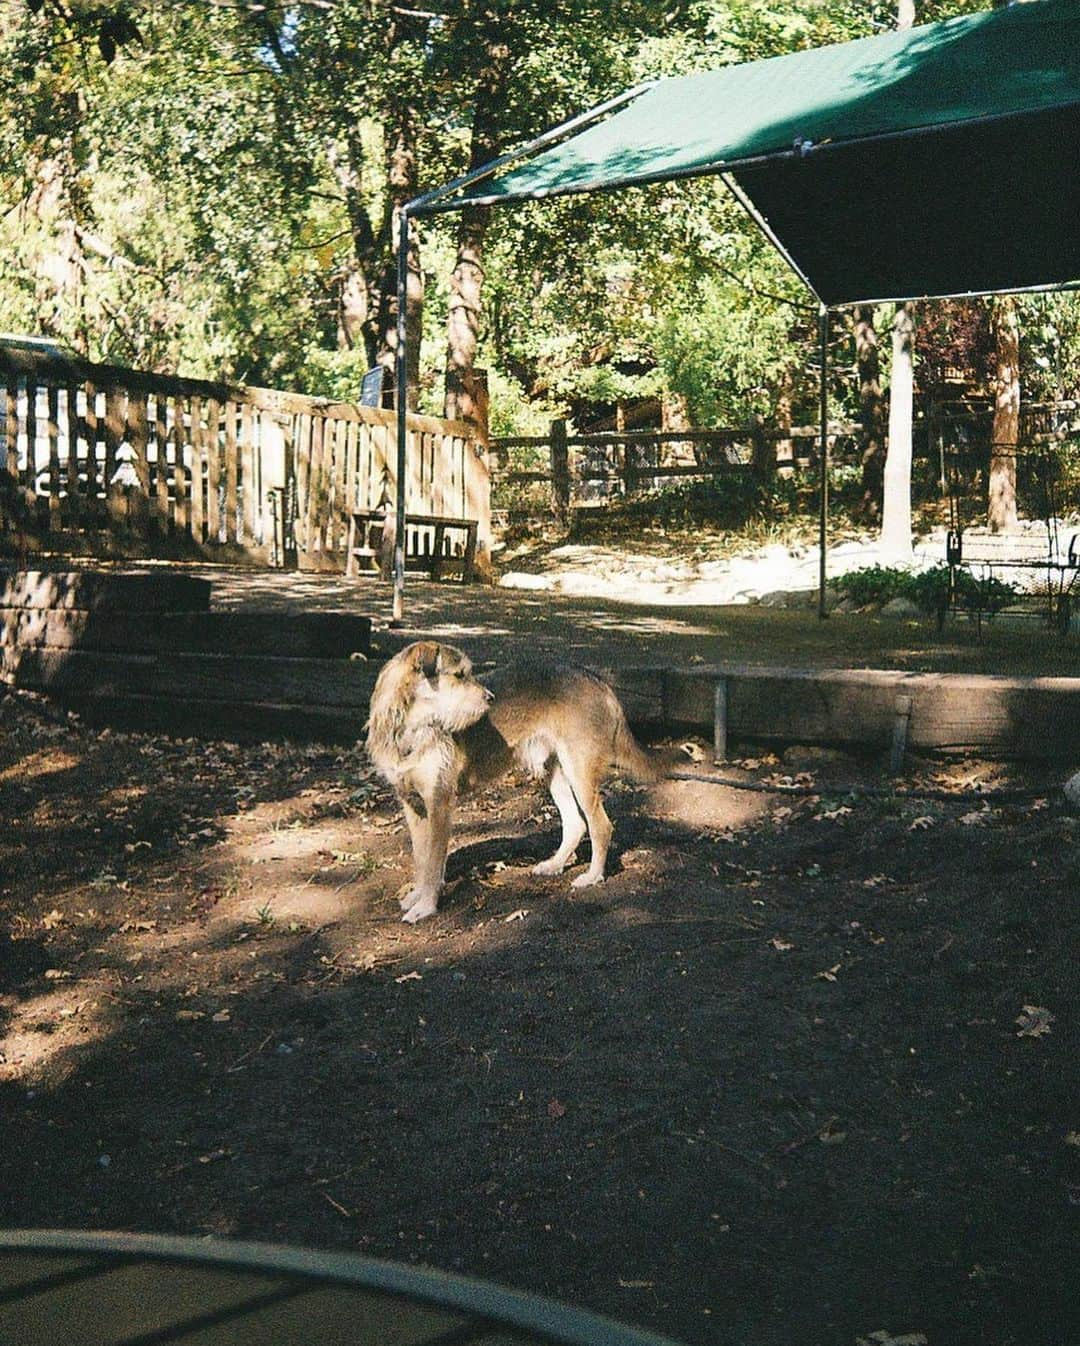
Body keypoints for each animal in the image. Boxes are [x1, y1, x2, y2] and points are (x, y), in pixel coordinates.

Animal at [366, 643, 659, 920]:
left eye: (468, 673)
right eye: (459, 675)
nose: (490, 698)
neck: (408, 731)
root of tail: (597, 680)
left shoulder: (439, 803)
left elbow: (433, 863)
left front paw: (426, 906)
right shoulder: (413, 805)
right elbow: (421, 859)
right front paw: (417, 895)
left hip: (579, 773)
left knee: (601, 826)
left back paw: (593, 875)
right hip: (554, 772)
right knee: (575, 824)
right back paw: (554, 865)